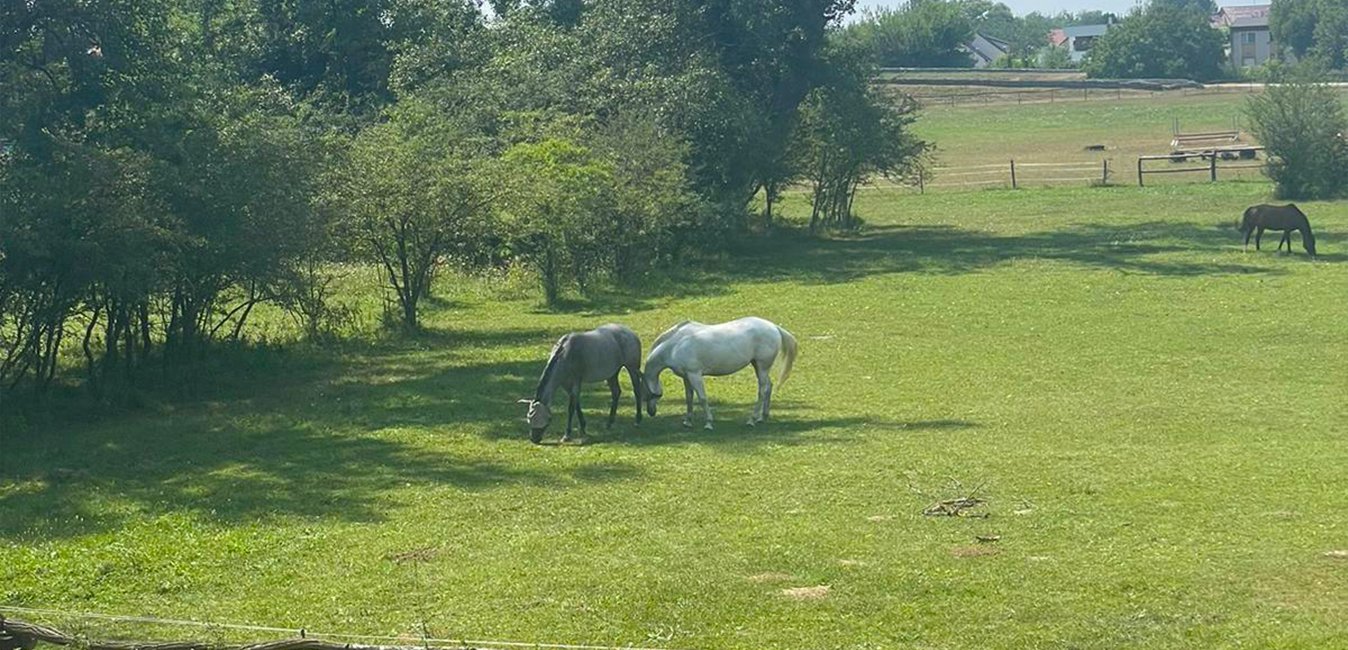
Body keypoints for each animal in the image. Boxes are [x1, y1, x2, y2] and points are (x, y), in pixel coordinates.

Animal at [644, 315, 792, 428]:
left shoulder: (694, 375)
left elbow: (702, 398)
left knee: (763, 390)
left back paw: (752, 420)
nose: (651, 412)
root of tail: (774, 327)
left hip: (762, 366)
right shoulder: (686, 377)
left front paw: (708, 423)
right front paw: (688, 421)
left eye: (648, 395)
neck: (676, 346)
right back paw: (763, 417)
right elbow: (689, 398)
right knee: (769, 386)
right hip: (758, 366)